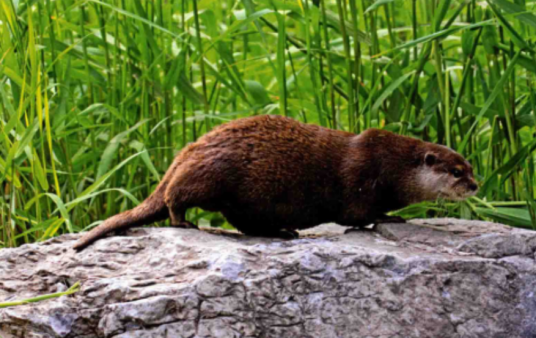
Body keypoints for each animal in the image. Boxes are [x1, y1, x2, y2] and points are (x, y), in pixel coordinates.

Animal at [72, 115, 478, 250]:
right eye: (457, 171)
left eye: (471, 167)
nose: (475, 186)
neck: (393, 166)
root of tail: (184, 154)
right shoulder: (362, 177)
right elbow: (357, 214)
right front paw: (391, 217)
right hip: (209, 174)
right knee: (175, 197)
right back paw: (183, 222)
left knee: (245, 223)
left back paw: (283, 231)